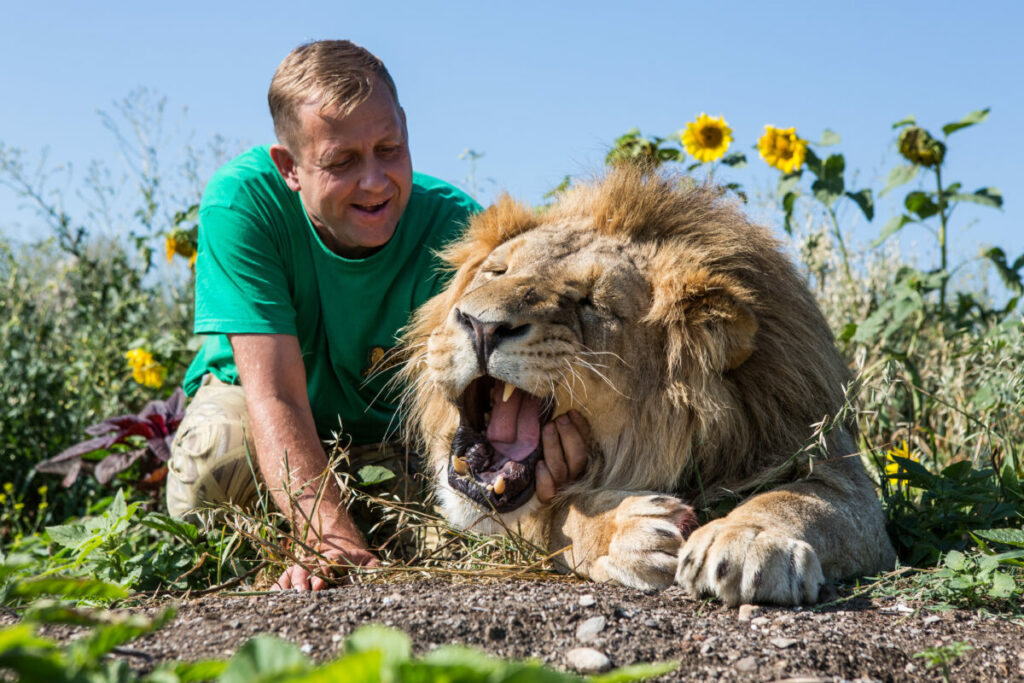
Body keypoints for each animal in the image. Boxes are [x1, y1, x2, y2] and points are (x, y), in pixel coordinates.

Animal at [395, 165, 892, 602]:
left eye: (592, 303)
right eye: (496, 272)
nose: (481, 326)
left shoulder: (828, 457)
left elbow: (797, 501)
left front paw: (747, 541)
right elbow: (555, 513)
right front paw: (624, 531)